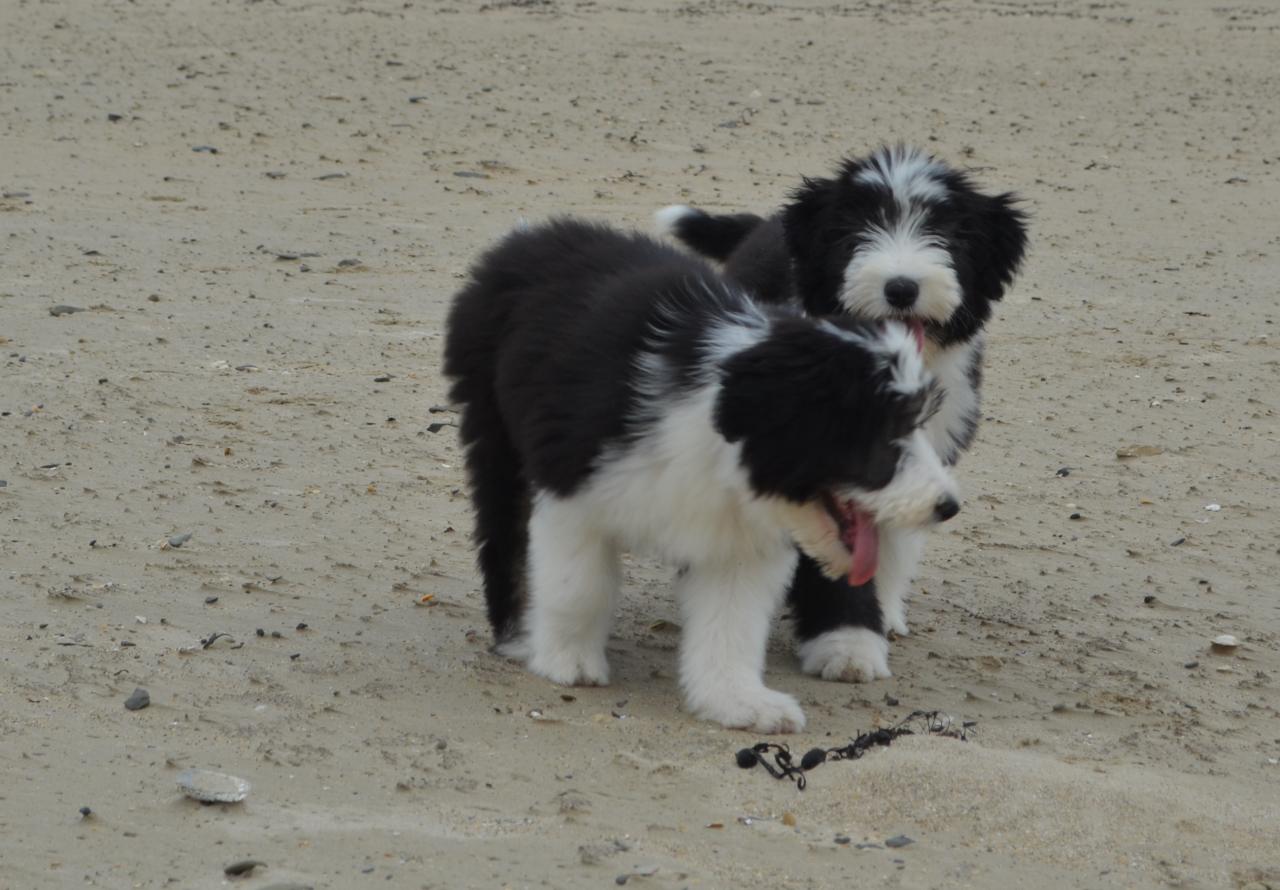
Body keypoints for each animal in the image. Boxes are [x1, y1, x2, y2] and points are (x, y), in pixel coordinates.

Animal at [445, 217, 957, 732]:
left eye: (917, 424)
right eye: (886, 433)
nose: (948, 507)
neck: (717, 420)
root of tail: (532, 234)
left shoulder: (739, 539)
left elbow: (732, 624)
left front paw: (738, 700)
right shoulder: (572, 485)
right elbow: (579, 588)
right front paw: (567, 660)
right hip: (494, 428)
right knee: (505, 530)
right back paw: (517, 632)